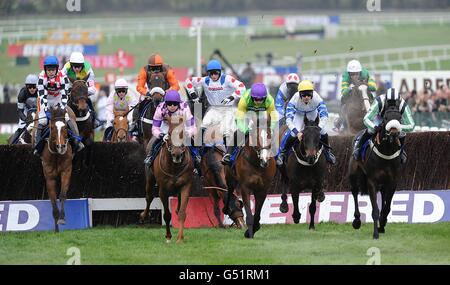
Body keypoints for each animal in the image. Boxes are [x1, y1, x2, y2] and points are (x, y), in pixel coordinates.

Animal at [348, 103, 404, 239]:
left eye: (400, 118)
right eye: (386, 118)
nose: (394, 134)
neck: (386, 152)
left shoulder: (393, 181)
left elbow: (387, 208)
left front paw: (382, 224)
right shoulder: (372, 181)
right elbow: (375, 210)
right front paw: (375, 233)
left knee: (383, 196)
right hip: (353, 174)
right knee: (354, 192)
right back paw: (357, 220)